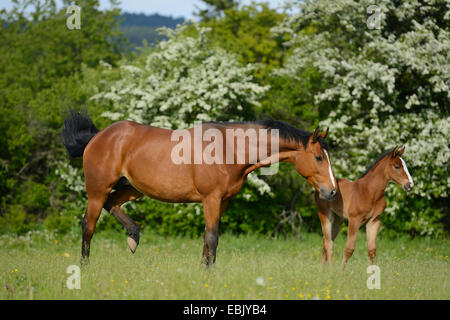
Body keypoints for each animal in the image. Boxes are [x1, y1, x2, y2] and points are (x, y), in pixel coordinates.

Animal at [63, 111, 338, 266]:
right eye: (318, 157)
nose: (332, 191)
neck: (230, 148)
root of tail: (98, 137)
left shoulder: (222, 201)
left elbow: (208, 238)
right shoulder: (211, 199)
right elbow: (212, 237)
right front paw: (208, 272)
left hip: (132, 187)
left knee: (113, 204)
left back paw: (133, 237)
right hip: (97, 191)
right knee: (88, 226)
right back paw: (85, 266)